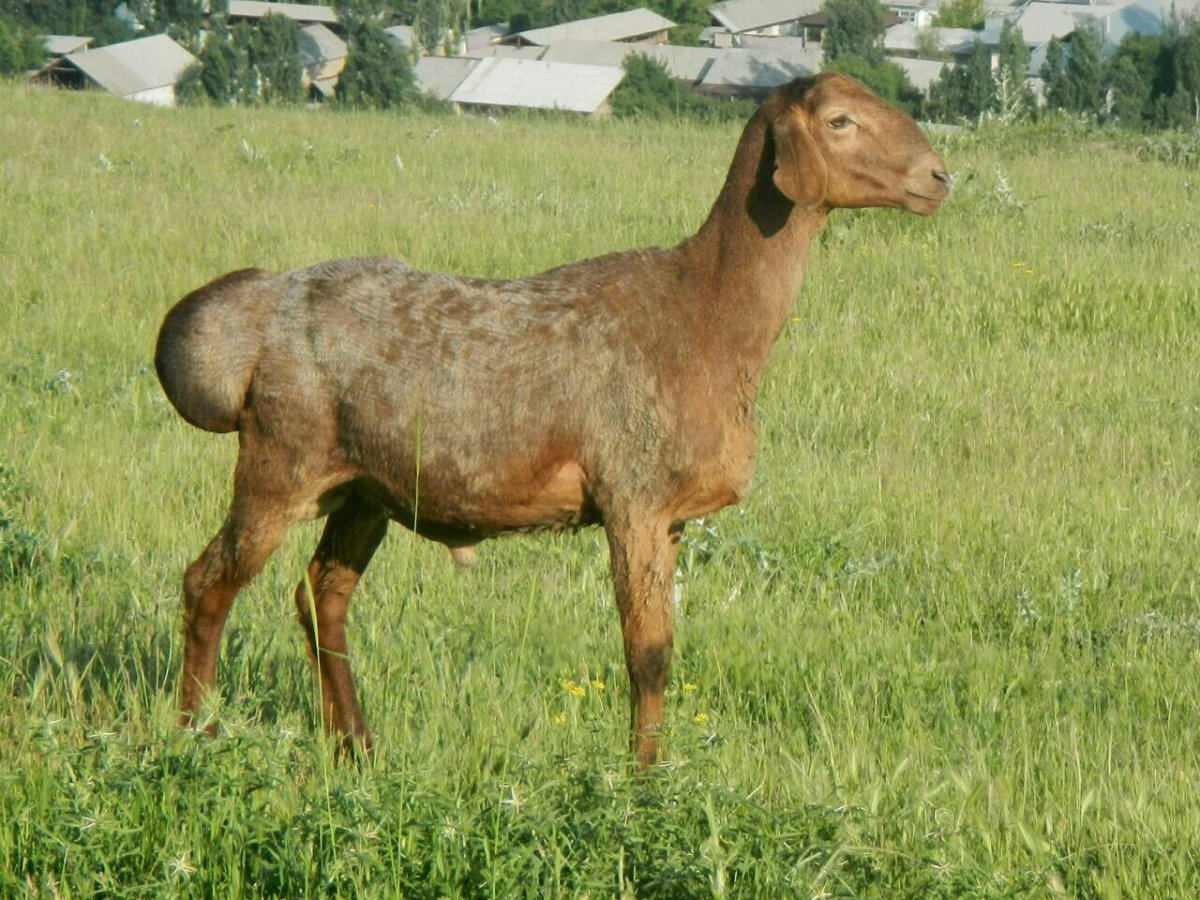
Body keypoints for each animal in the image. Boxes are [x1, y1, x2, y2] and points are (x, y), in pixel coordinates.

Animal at [155, 72, 950, 766]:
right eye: (839, 121)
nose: (940, 177)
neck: (712, 318)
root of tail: (248, 320)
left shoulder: (670, 515)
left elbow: (662, 650)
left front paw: (653, 767)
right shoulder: (633, 493)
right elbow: (646, 653)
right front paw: (643, 780)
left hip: (364, 487)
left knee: (321, 595)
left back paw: (356, 745)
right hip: (281, 457)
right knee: (209, 582)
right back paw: (197, 732)